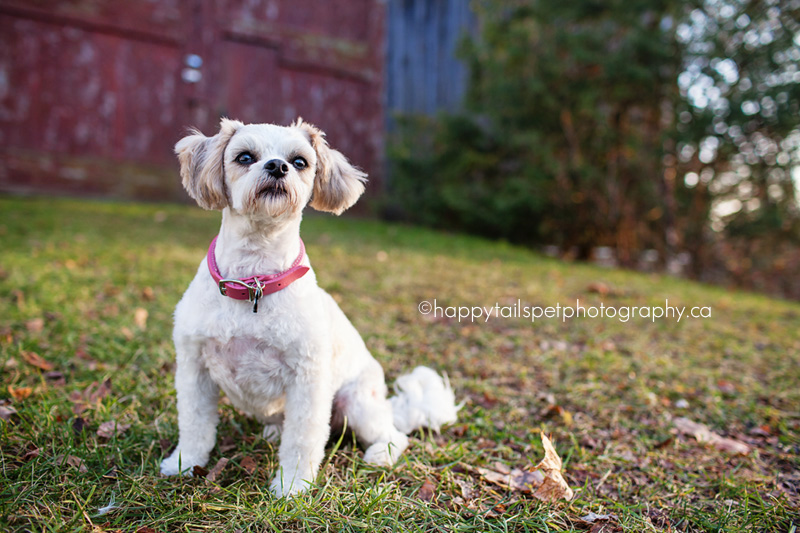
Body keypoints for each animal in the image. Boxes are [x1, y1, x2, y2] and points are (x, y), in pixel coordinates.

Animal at [159, 116, 456, 494]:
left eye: (299, 161)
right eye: (244, 157)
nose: (277, 166)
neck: (255, 281)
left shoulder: (308, 379)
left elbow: (302, 439)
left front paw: (291, 486)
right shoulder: (194, 369)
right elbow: (195, 425)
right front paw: (184, 464)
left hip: (357, 403)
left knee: (393, 435)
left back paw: (380, 453)